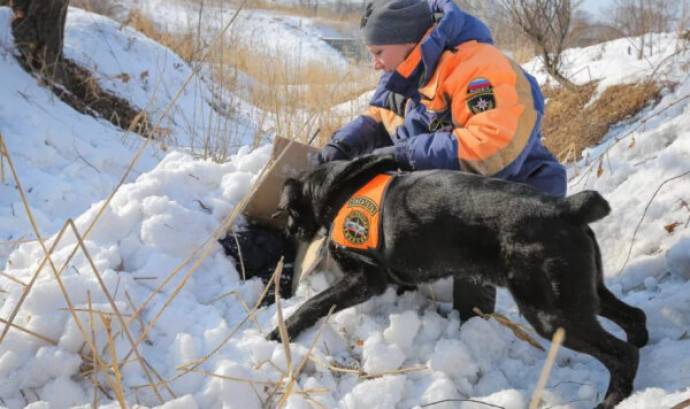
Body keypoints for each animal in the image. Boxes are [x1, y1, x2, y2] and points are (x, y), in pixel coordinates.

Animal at [268, 154, 644, 408]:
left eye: (288, 212)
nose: (289, 232)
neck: (339, 190)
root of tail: (566, 208)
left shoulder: (364, 278)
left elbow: (314, 303)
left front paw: (280, 332)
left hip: (552, 315)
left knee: (622, 355)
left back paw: (612, 400)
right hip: (585, 294)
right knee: (634, 318)